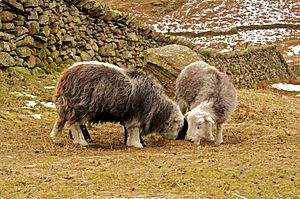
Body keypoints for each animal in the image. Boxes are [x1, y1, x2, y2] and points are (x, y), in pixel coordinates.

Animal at [50, 61, 184, 148]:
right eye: (178, 125)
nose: (173, 139)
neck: (157, 106)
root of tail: (65, 76)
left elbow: (129, 129)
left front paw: (131, 142)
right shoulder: (137, 115)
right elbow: (134, 129)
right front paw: (137, 144)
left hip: (65, 105)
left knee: (60, 122)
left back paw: (56, 139)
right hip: (79, 107)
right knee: (75, 125)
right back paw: (81, 142)